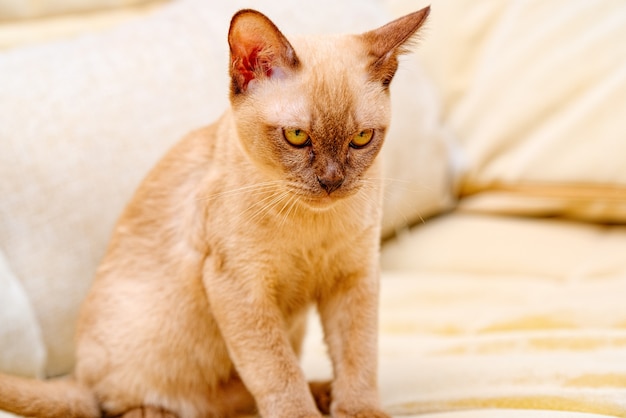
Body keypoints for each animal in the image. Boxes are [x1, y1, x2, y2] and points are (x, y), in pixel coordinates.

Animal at [0, 6, 428, 418]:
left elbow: (358, 361)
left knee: (236, 398)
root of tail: (74, 373)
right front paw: (304, 412)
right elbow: (279, 374)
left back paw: (323, 393)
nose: (331, 182)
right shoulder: (240, 288)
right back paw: (152, 412)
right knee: (110, 403)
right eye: (296, 136)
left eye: (361, 139)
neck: (311, 223)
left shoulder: (354, 278)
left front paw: (359, 411)